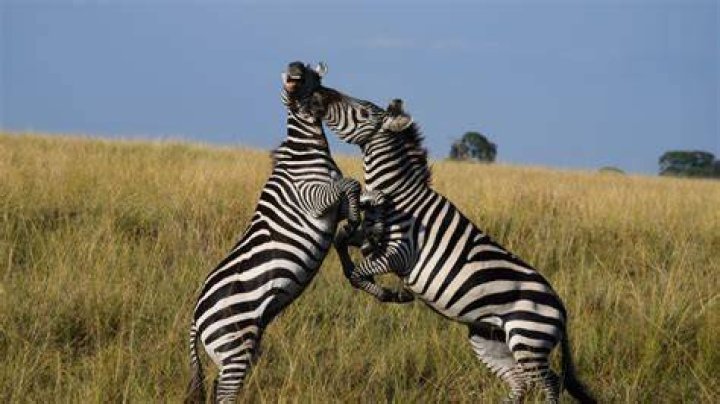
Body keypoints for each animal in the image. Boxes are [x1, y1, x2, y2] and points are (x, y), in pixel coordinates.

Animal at [185, 62, 362, 404]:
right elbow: (351, 184)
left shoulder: (332, 205)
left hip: (231, 351)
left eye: (309, 74)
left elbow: (355, 190)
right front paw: (358, 217)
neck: (306, 151)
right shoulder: (313, 198)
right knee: (224, 394)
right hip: (235, 346)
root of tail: (196, 319)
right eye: (288, 76)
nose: (293, 68)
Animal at [305, 81, 596, 403]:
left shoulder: (399, 253)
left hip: (528, 340)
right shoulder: (369, 237)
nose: (320, 92)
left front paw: (394, 294)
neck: (398, 196)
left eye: (364, 112)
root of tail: (562, 309)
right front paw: (372, 280)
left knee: (550, 382)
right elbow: (342, 243)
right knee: (519, 382)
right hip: (488, 338)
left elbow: (359, 273)